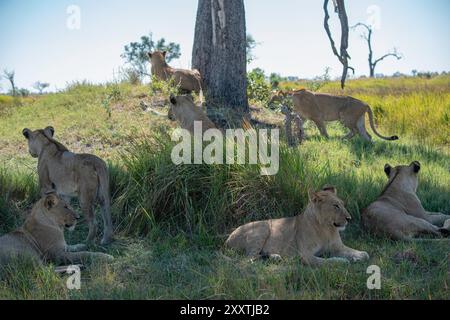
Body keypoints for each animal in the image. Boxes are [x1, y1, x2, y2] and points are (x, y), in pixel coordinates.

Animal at [225, 184, 370, 266]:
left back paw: (275, 257)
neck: (326, 228)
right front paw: (342, 261)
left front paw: (358, 257)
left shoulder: (338, 247)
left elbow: (361, 253)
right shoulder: (305, 255)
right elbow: (326, 261)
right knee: (249, 258)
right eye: (335, 206)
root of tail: (227, 239)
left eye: (342, 204)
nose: (349, 218)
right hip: (262, 228)